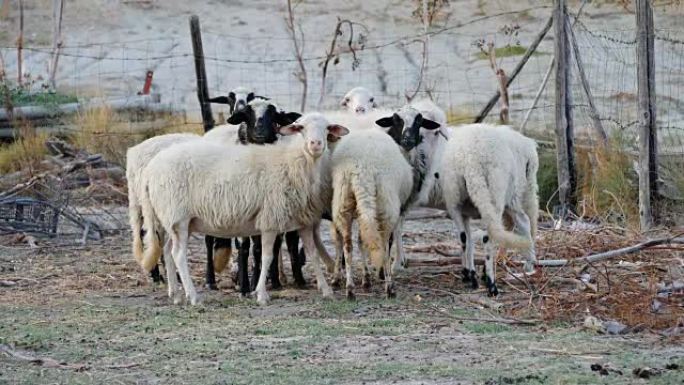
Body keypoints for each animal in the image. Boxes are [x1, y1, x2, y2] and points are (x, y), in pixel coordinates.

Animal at [138, 112, 348, 304]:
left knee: (167, 251)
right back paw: (193, 296)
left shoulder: (303, 220)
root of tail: (149, 170)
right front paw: (261, 294)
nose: (315, 144)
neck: (295, 161)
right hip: (177, 216)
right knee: (178, 254)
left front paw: (326, 290)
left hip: (177, 220)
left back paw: (175, 294)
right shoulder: (270, 219)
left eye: (327, 128)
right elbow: (267, 256)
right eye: (301, 128)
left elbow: (313, 255)